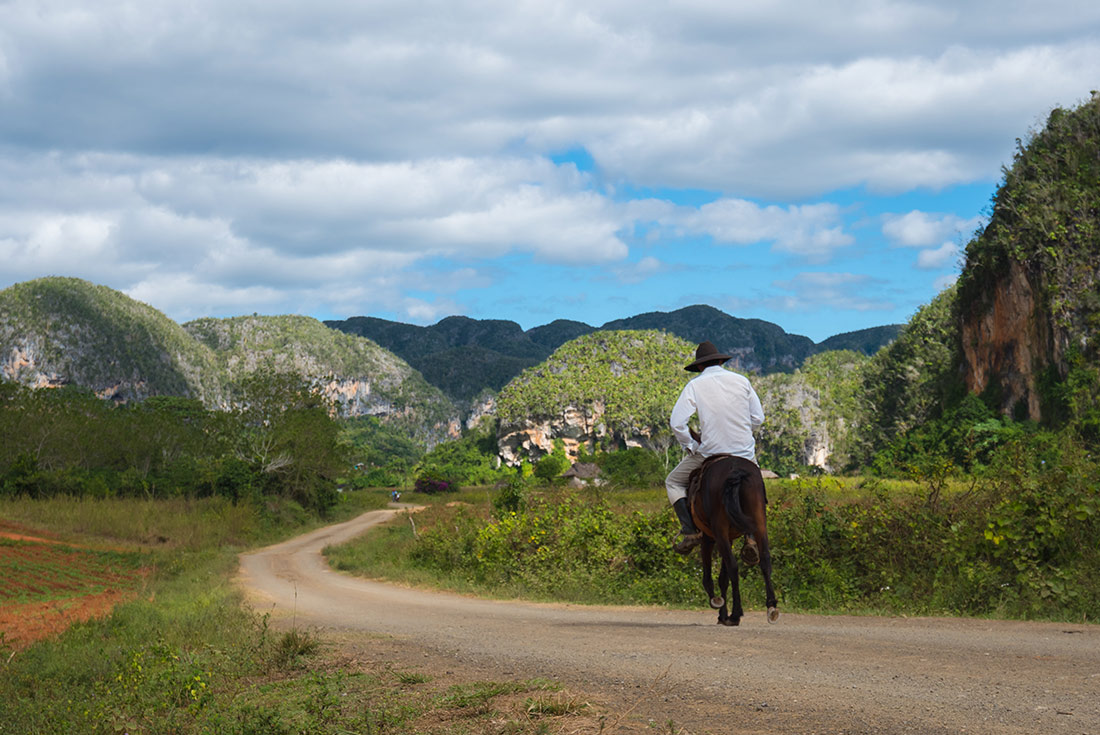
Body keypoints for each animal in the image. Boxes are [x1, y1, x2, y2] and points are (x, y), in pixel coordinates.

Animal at [690, 453, 778, 624]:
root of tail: (736, 471)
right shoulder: (728, 538)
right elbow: (723, 578)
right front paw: (722, 614)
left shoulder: (709, 536)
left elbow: (710, 576)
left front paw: (717, 603)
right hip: (759, 522)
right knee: (765, 560)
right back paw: (771, 606)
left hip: (719, 530)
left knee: (733, 566)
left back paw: (736, 614)